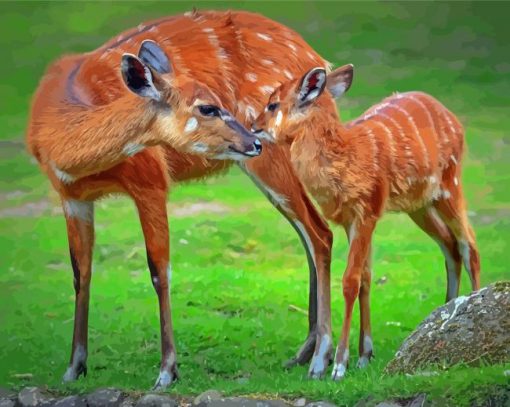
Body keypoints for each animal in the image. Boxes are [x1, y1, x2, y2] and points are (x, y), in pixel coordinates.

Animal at [26, 10, 338, 388]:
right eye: (207, 108)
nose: (253, 138)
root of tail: (318, 60)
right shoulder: (71, 196)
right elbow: (80, 272)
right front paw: (74, 368)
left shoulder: (150, 180)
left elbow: (159, 270)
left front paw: (166, 371)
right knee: (310, 234)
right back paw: (303, 352)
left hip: (274, 159)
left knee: (320, 232)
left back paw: (320, 358)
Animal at [255, 65, 482, 380]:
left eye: (273, 104)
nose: (253, 126)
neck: (345, 161)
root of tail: (453, 119)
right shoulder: (352, 219)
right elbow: (365, 278)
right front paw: (363, 356)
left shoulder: (367, 211)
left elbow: (350, 280)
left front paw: (338, 366)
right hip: (419, 204)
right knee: (450, 245)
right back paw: (443, 313)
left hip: (450, 184)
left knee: (468, 244)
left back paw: (473, 306)